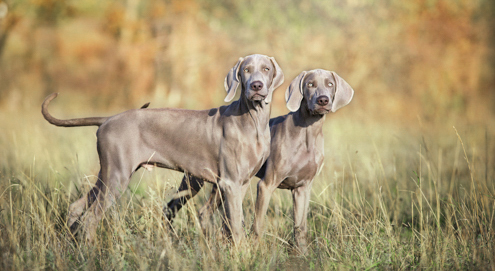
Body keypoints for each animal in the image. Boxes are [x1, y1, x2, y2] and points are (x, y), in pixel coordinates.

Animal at [42, 53, 284, 244]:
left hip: (108, 174)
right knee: (91, 217)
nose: (256, 86)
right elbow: (235, 225)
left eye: (266, 69)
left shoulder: (241, 183)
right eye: (246, 70)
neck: (253, 120)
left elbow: (232, 223)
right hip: (117, 178)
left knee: (76, 206)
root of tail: (108, 119)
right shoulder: (230, 183)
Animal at [165, 69, 354, 253]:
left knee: (208, 212)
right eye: (310, 84)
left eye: (330, 84)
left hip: (220, 183)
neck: (308, 132)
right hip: (195, 180)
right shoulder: (266, 185)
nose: (323, 100)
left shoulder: (303, 188)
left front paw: (303, 255)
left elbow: (300, 227)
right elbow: (258, 223)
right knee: (174, 205)